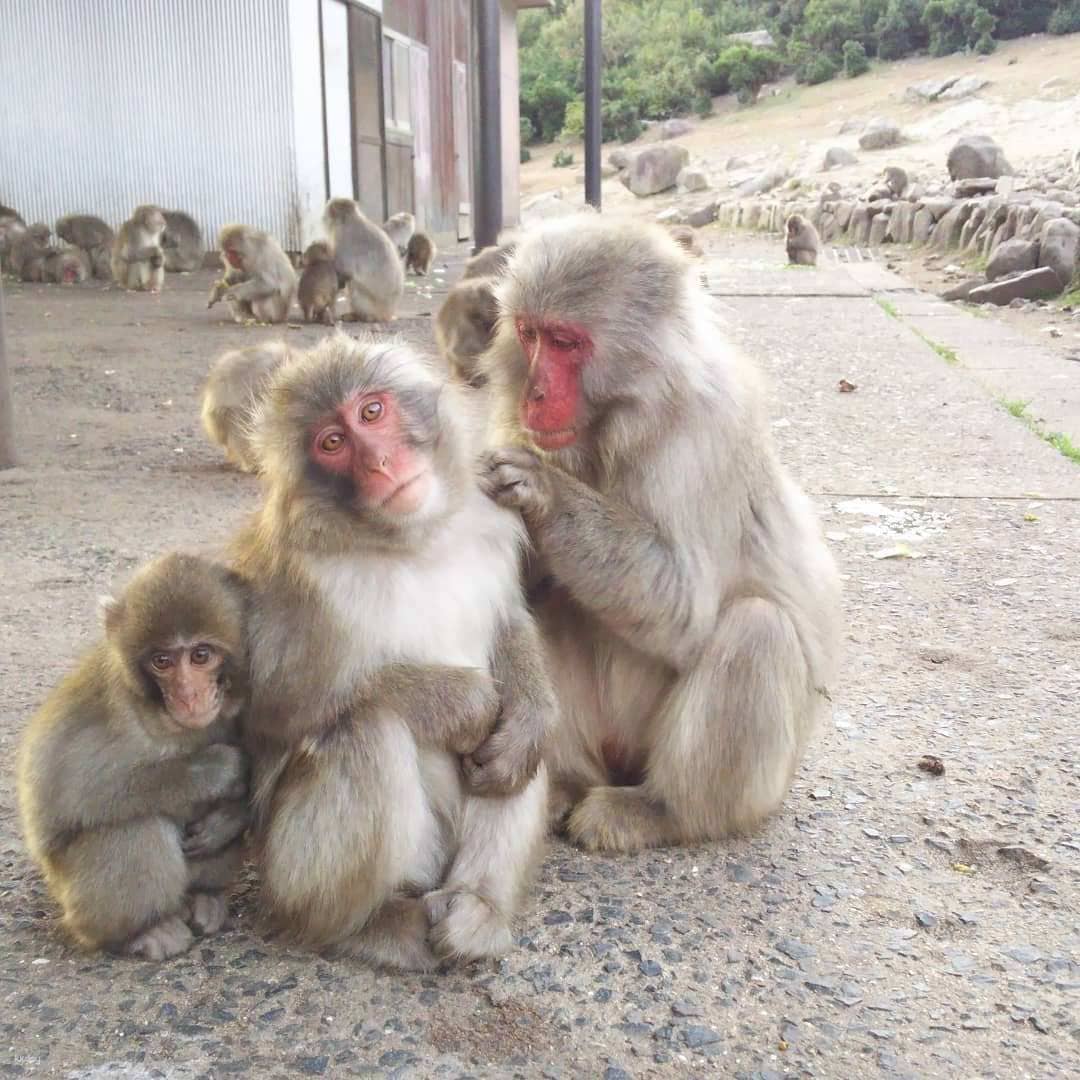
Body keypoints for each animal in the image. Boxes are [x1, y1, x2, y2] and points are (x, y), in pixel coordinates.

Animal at [17, 553, 252, 960]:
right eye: (161, 661)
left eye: (201, 655)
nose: (188, 696)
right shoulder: (108, 707)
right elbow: (70, 797)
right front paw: (219, 769)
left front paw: (229, 817)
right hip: (77, 899)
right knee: (134, 826)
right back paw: (143, 930)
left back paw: (204, 897)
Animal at [231, 333, 555, 970]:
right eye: (332, 444)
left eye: (372, 412)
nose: (380, 462)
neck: (413, 542)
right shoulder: (288, 584)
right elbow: (272, 707)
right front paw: (463, 704)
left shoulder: (488, 519)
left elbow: (508, 622)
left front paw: (527, 719)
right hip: (293, 876)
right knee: (365, 731)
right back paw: (365, 926)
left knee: (515, 768)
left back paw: (479, 908)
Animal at [478, 214, 841, 853]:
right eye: (528, 333)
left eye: (566, 342)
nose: (534, 394)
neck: (617, 422)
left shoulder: (703, 437)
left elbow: (685, 608)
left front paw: (542, 490)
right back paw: (566, 782)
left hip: (757, 780)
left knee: (758, 628)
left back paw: (664, 810)